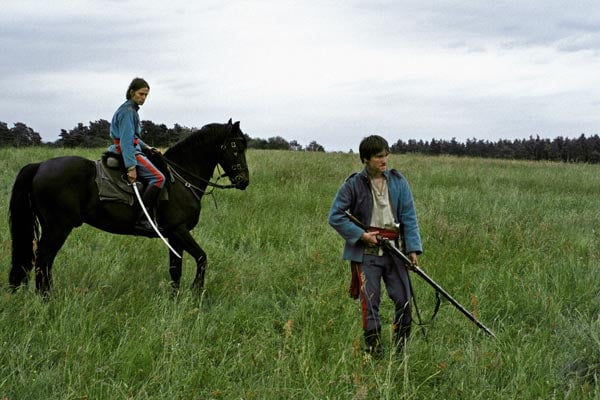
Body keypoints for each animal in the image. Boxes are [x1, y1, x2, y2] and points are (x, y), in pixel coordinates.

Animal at [9, 118, 248, 294]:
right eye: (235, 146)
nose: (244, 181)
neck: (181, 179)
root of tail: (40, 166)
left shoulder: (173, 236)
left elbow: (175, 270)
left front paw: (175, 300)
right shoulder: (179, 230)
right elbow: (201, 258)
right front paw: (196, 292)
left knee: (44, 263)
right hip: (58, 228)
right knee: (43, 261)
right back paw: (47, 299)